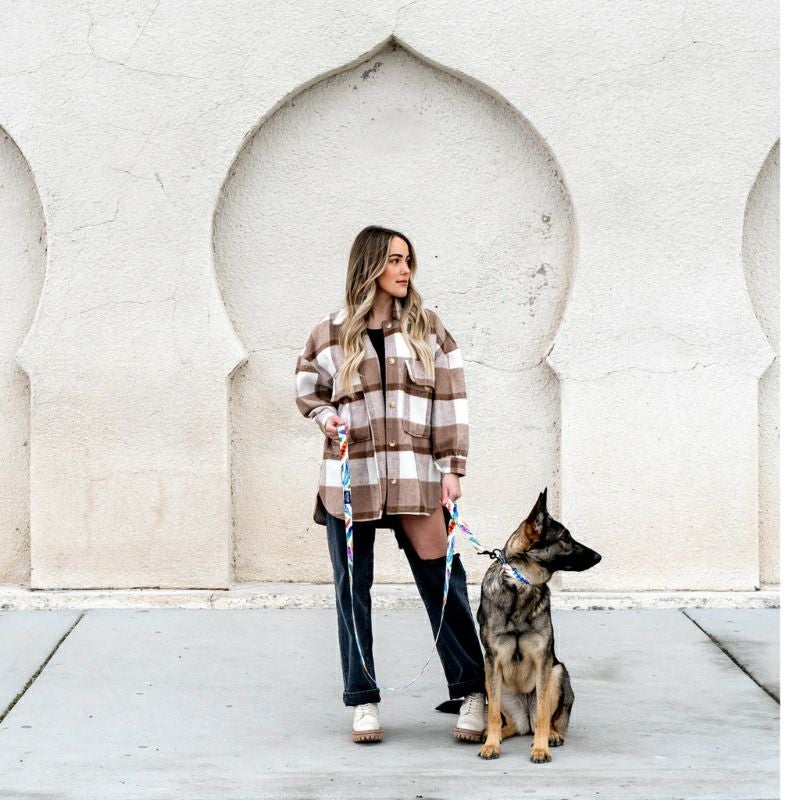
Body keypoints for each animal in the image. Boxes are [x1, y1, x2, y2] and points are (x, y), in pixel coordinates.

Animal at [476, 487, 601, 763]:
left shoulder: (544, 660)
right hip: (490, 681)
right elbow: (492, 715)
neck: (520, 583)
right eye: (565, 537)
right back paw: (495, 734)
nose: (599, 556)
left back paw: (550, 735)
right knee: (509, 722)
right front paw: (491, 744)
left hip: (557, 672)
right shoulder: (492, 660)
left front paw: (541, 748)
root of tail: (526, 719)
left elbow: (544, 712)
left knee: (547, 720)